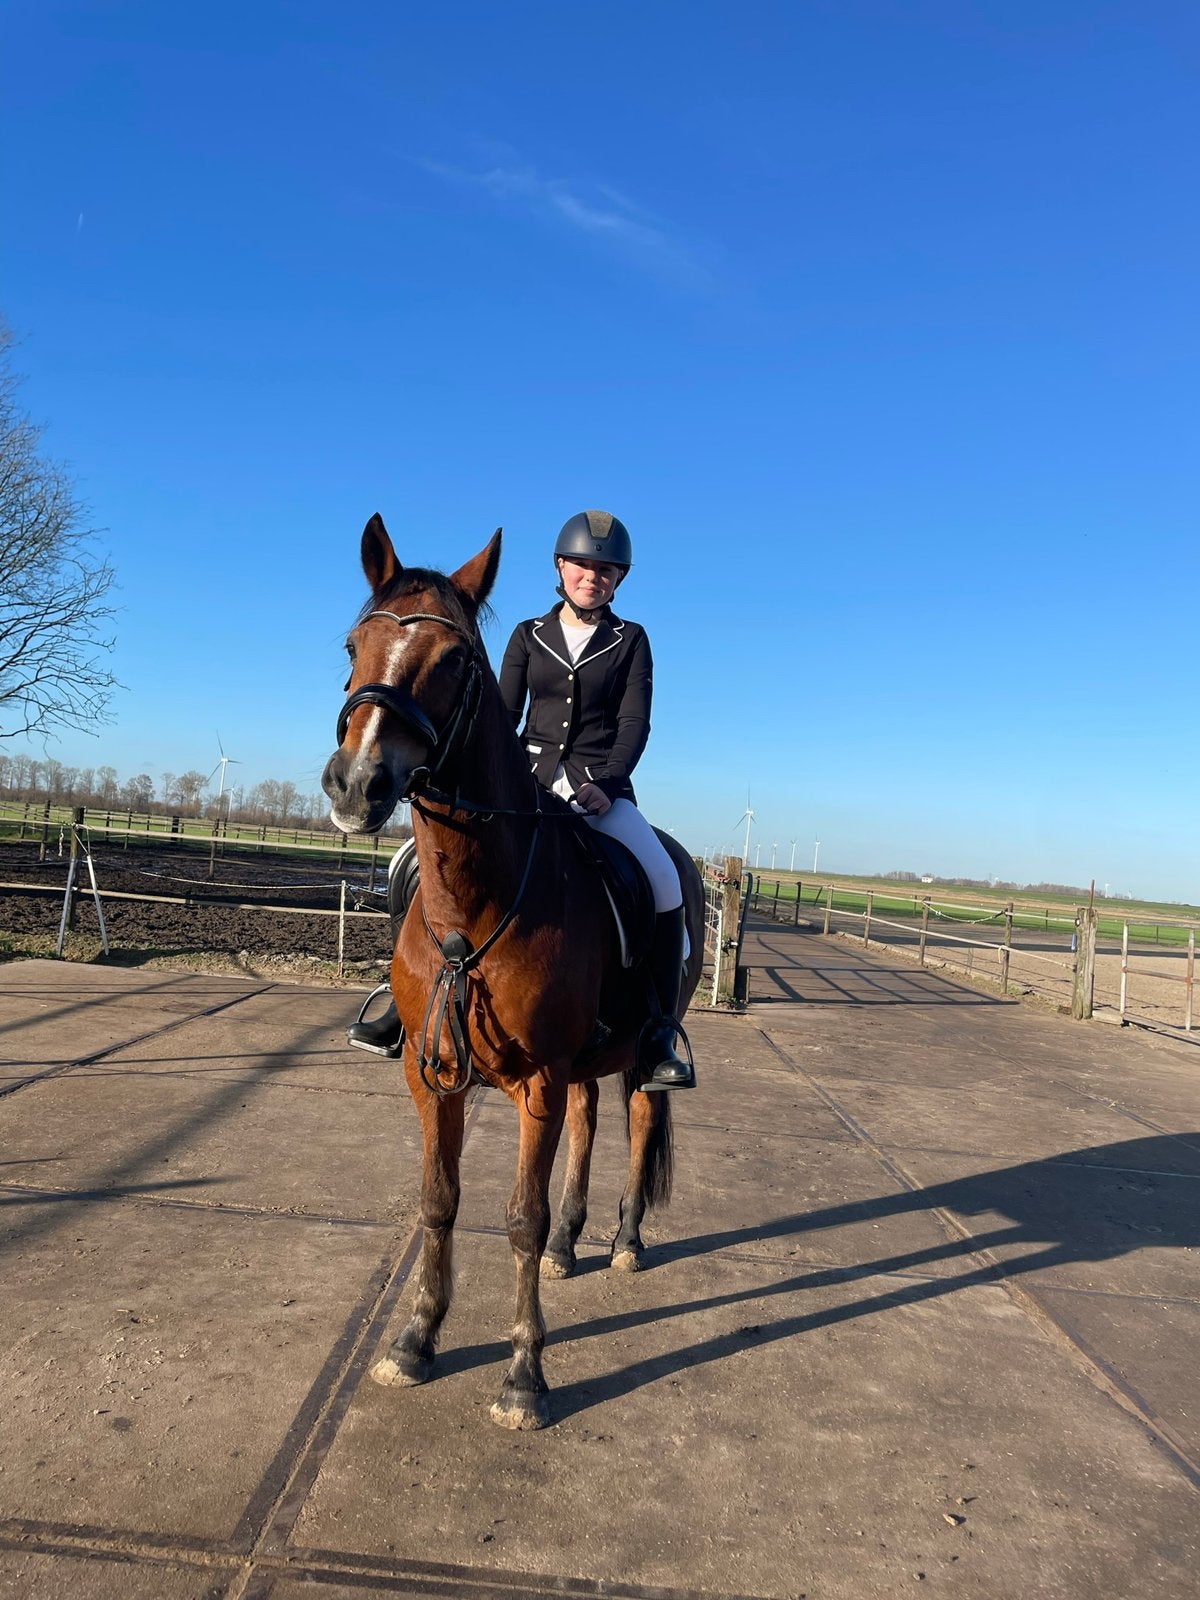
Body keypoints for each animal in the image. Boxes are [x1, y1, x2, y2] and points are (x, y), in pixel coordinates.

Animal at [321, 515, 704, 1430]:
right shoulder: (433, 1075)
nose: (357, 784)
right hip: (583, 1063)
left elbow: (518, 1219)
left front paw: (525, 1374)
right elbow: (440, 1200)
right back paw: (573, 1243)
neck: (477, 897)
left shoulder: (538, 1078)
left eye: (458, 660)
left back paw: (624, 1241)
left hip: (635, 1051)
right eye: (353, 643)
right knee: (592, 1124)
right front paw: (416, 1340)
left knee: (640, 1119)